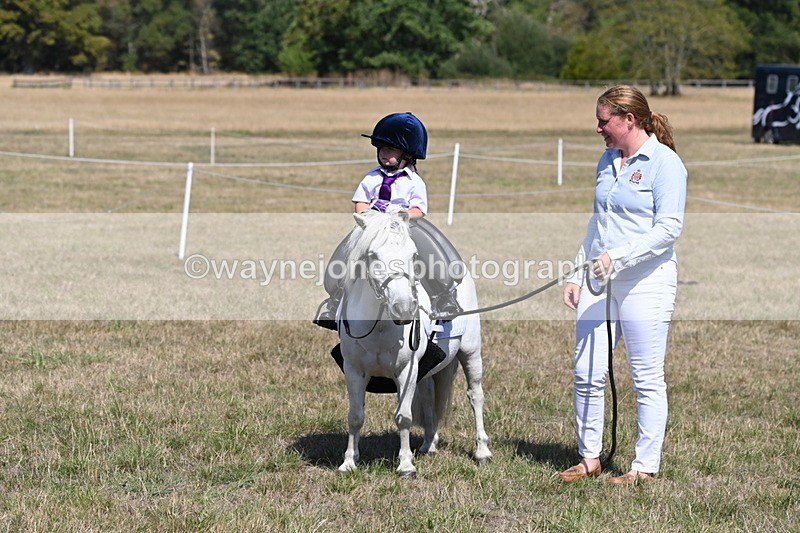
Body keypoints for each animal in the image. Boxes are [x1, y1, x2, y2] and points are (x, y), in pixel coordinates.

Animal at [336, 210, 492, 477]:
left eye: (414, 255)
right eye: (372, 255)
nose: (404, 308)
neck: (380, 327)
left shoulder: (406, 369)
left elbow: (404, 417)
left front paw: (406, 465)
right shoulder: (354, 370)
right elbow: (355, 416)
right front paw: (349, 462)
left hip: (471, 352)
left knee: (475, 396)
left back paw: (482, 451)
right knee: (430, 399)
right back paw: (429, 444)